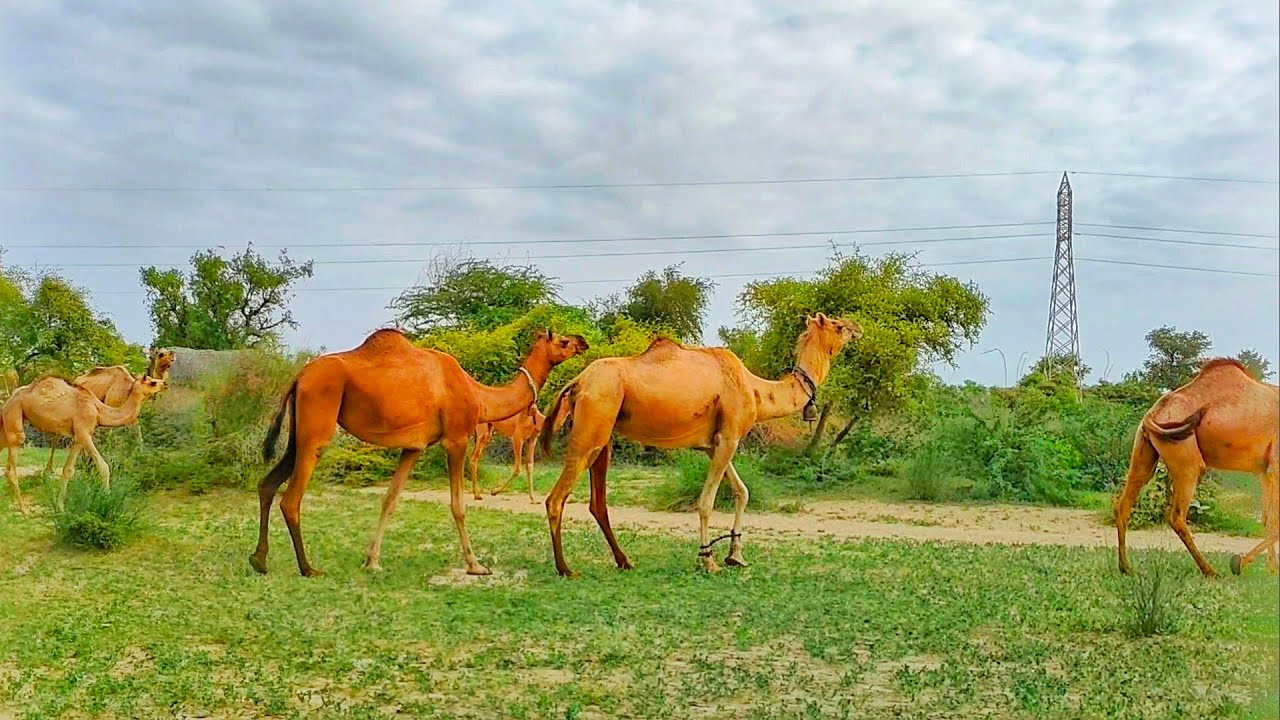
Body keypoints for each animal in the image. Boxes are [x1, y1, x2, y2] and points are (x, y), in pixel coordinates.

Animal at [2, 374, 167, 515]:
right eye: (152, 382)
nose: (165, 384)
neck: (98, 410)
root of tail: (9, 398)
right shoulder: (84, 433)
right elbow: (104, 467)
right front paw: (108, 502)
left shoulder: (78, 439)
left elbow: (68, 470)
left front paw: (60, 507)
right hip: (15, 416)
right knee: (11, 467)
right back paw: (25, 510)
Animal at [41, 349, 176, 474]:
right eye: (161, 354)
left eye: (168, 351)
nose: (173, 353)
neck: (128, 387)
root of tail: (76, 379)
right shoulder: (111, 406)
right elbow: (109, 436)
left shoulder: (131, 415)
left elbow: (138, 435)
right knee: (58, 434)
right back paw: (50, 469)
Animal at [252, 327, 588, 577]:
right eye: (563, 341)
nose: (583, 342)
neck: (478, 395)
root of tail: (298, 377)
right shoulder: (455, 439)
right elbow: (457, 506)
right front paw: (476, 565)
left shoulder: (413, 447)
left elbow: (389, 500)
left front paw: (372, 560)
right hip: (316, 428)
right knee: (291, 499)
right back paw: (308, 568)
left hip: (298, 435)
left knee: (267, 484)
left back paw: (259, 560)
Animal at [538, 313, 861, 577]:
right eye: (838, 325)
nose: (857, 328)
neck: (756, 391)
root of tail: (576, 382)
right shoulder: (730, 436)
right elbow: (706, 502)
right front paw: (708, 561)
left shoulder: (713, 444)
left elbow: (742, 491)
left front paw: (736, 556)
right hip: (592, 425)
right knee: (556, 498)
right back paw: (566, 569)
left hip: (602, 435)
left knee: (598, 502)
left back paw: (624, 561)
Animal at [1114, 358, 1279, 577]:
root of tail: (1154, 411)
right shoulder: (1276, 465)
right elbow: (1276, 521)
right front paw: (1238, 563)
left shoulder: (1265, 471)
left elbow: (1268, 518)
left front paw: (1272, 568)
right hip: (1188, 461)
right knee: (1176, 516)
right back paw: (1210, 571)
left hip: (1144, 451)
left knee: (1124, 503)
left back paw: (1126, 568)